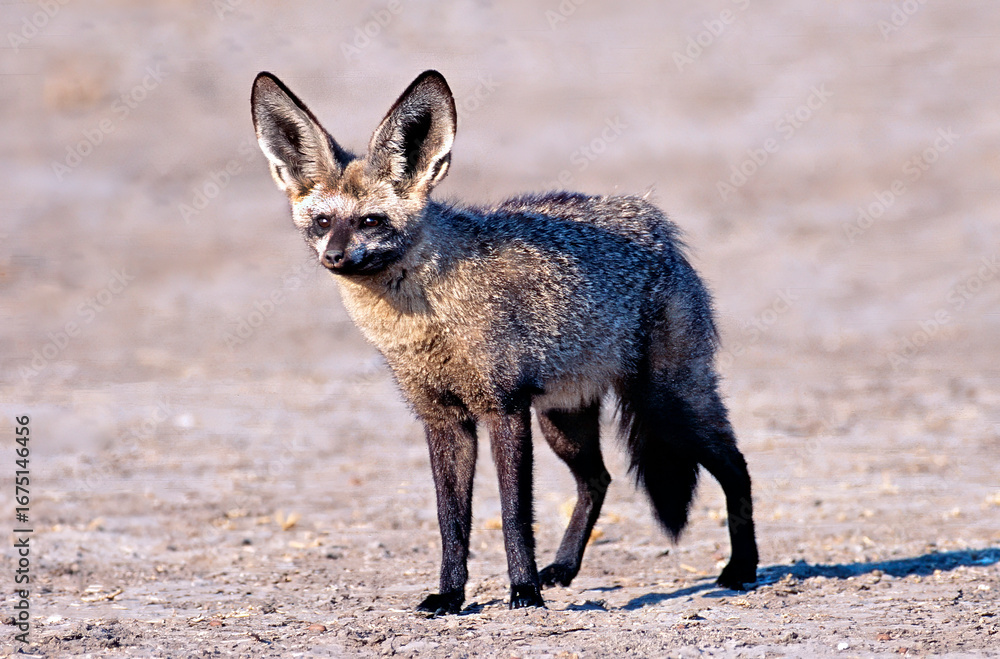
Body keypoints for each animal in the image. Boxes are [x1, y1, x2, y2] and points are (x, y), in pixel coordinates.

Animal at [250, 70, 758, 615]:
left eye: (370, 221)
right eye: (323, 222)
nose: (335, 257)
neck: (429, 325)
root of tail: (652, 221)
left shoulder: (504, 409)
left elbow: (515, 514)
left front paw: (524, 593)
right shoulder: (443, 420)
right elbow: (451, 521)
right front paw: (450, 595)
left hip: (669, 404)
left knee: (737, 468)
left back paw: (742, 569)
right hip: (564, 420)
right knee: (597, 481)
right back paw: (565, 567)